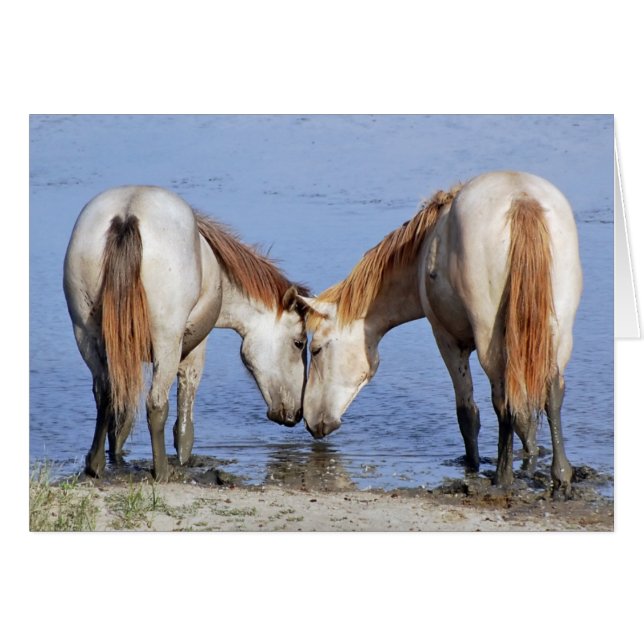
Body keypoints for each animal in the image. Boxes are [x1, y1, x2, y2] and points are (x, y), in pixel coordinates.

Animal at [63, 185, 309, 482]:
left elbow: (122, 417)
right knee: (156, 404)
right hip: (166, 344)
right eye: (299, 343)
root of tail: (127, 214)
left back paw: (96, 465)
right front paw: (182, 458)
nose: (297, 414)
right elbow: (184, 416)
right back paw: (162, 472)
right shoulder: (193, 351)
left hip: (85, 335)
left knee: (105, 394)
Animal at [296, 171, 583, 497]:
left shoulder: (447, 340)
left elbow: (468, 413)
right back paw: (561, 477)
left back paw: (503, 477)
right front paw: (531, 456)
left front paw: (472, 465)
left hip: (490, 339)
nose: (310, 421)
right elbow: (524, 414)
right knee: (552, 392)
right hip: (557, 332)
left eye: (316, 349)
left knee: (502, 400)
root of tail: (522, 199)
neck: (425, 250)